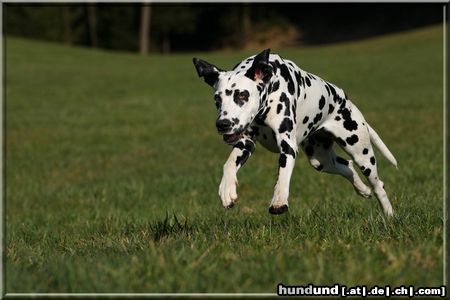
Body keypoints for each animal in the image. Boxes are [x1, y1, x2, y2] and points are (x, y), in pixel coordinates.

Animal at [192, 49, 396, 218]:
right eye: (217, 99)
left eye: (242, 95)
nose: (222, 124)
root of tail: (344, 98)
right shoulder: (245, 144)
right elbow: (229, 163)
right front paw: (227, 189)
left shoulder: (287, 147)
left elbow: (282, 174)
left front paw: (279, 200)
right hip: (320, 159)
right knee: (347, 166)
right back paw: (363, 190)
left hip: (362, 153)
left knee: (378, 184)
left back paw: (389, 214)